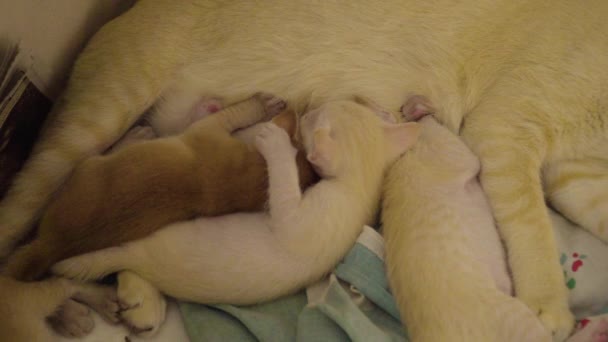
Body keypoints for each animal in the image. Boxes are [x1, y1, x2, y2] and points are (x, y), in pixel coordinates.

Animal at [4, 93, 318, 280]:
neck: (251, 178)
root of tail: (50, 246)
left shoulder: (209, 128)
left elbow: (237, 112)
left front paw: (259, 105)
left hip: (86, 167)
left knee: (101, 153)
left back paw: (134, 137)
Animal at [52, 99, 420, 334]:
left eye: (313, 118)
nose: (309, 107)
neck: (361, 185)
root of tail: (142, 257)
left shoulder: (295, 220)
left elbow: (282, 181)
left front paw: (274, 140)